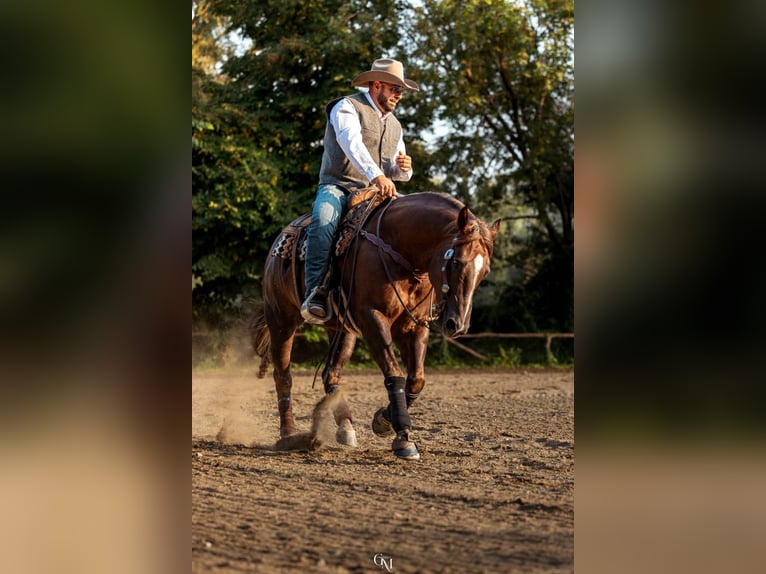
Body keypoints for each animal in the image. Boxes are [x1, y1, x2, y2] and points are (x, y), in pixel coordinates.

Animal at [249, 190, 501, 460]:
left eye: (485, 271)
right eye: (456, 262)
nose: (458, 325)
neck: (399, 249)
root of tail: (279, 241)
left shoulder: (412, 326)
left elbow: (416, 379)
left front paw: (383, 420)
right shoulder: (372, 318)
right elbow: (394, 374)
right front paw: (403, 439)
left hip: (341, 330)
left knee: (331, 373)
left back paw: (346, 427)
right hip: (281, 319)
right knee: (283, 376)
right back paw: (289, 434)